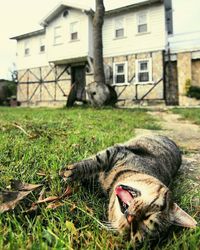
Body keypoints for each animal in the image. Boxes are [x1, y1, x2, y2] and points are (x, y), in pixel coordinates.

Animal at [59, 136, 197, 243]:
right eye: (149, 215)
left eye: (134, 233)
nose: (130, 219)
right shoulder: (117, 152)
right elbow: (95, 161)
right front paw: (71, 171)